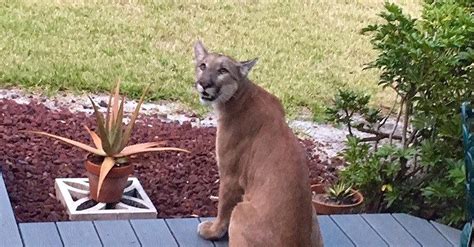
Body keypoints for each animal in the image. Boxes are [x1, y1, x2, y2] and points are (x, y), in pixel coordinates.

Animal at [193, 41, 322, 247]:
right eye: (203, 66)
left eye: (222, 70)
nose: (204, 84)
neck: (240, 95)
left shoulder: (230, 175)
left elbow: (223, 206)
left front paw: (213, 230)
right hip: (313, 213)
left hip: (241, 211)